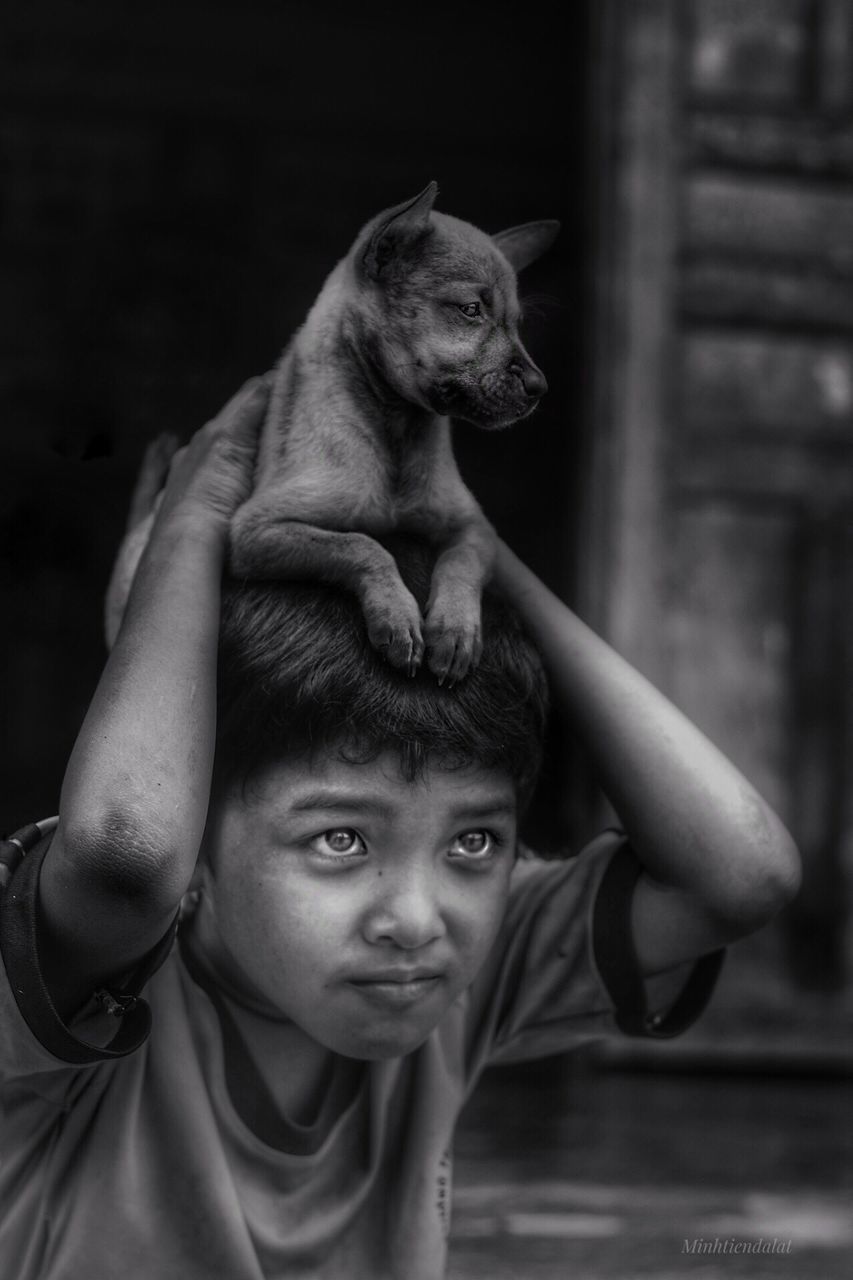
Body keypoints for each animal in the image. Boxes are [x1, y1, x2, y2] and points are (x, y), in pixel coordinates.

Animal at [104, 185, 558, 686]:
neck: (396, 429)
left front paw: (455, 630)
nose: (539, 387)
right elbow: (362, 546)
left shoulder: (475, 530)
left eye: (517, 324)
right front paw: (396, 617)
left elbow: (460, 565)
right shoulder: (258, 531)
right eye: (470, 310)